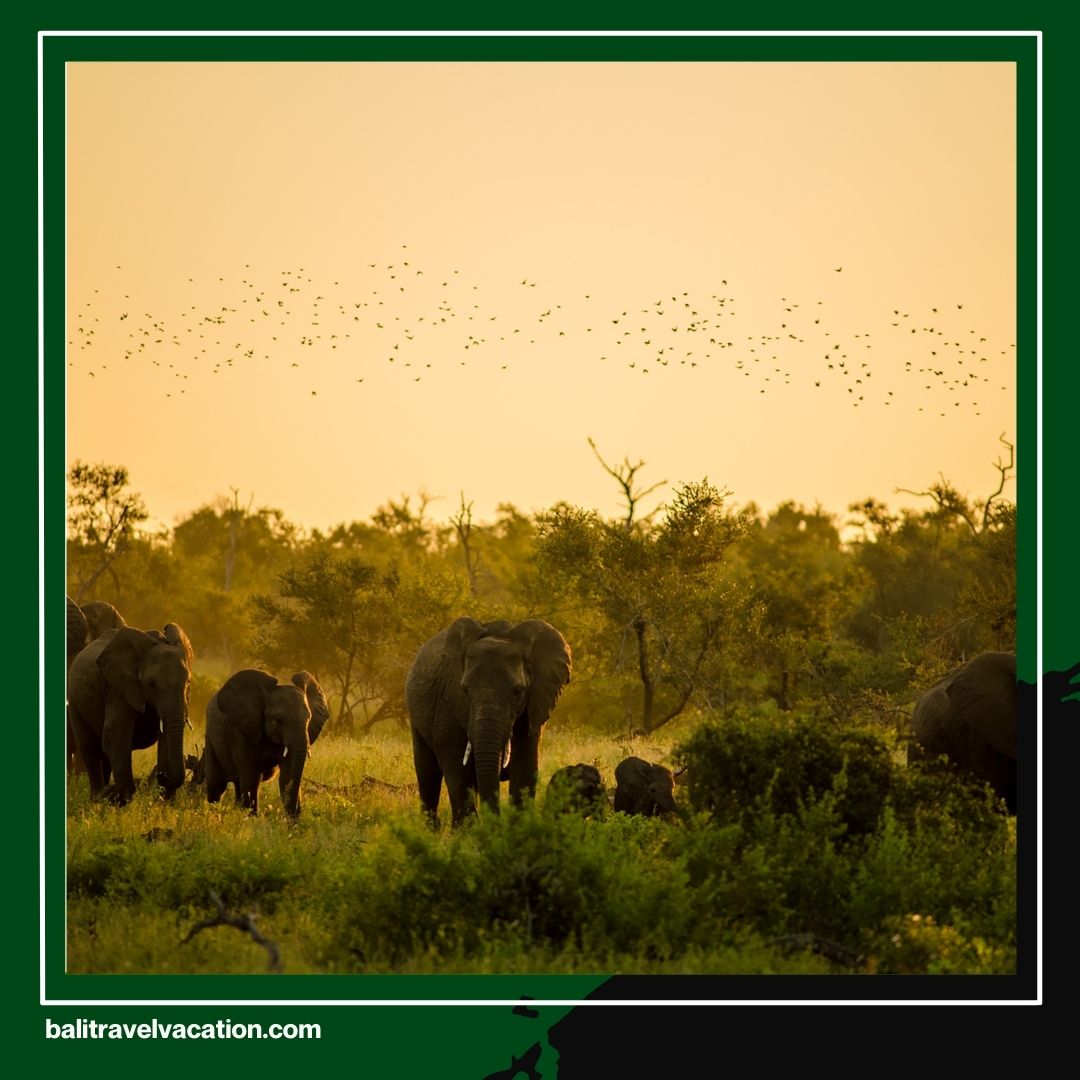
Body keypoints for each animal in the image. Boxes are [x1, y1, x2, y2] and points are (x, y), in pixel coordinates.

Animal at [66, 623, 194, 804]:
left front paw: (167, 803)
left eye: (188, 682)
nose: (161, 775)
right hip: (75, 701)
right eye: (151, 684)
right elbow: (115, 735)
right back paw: (98, 799)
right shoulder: (118, 687)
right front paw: (119, 800)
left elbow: (166, 738)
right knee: (90, 749)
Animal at [205, 669, 330, 818]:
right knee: (216, 785)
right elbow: (251, 777)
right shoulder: (242, 732)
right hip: (210, 736)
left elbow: (287, 777)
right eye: (277, 720)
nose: (295, 817)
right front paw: (251, 819)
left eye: (309, 718)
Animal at [405, 617, 572, 825]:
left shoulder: (532, 708)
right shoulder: (448, 703)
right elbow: (457, 770)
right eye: (465, 690)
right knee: (428, 774)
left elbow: (524, 769)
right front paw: (470, 830)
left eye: (517, 692)